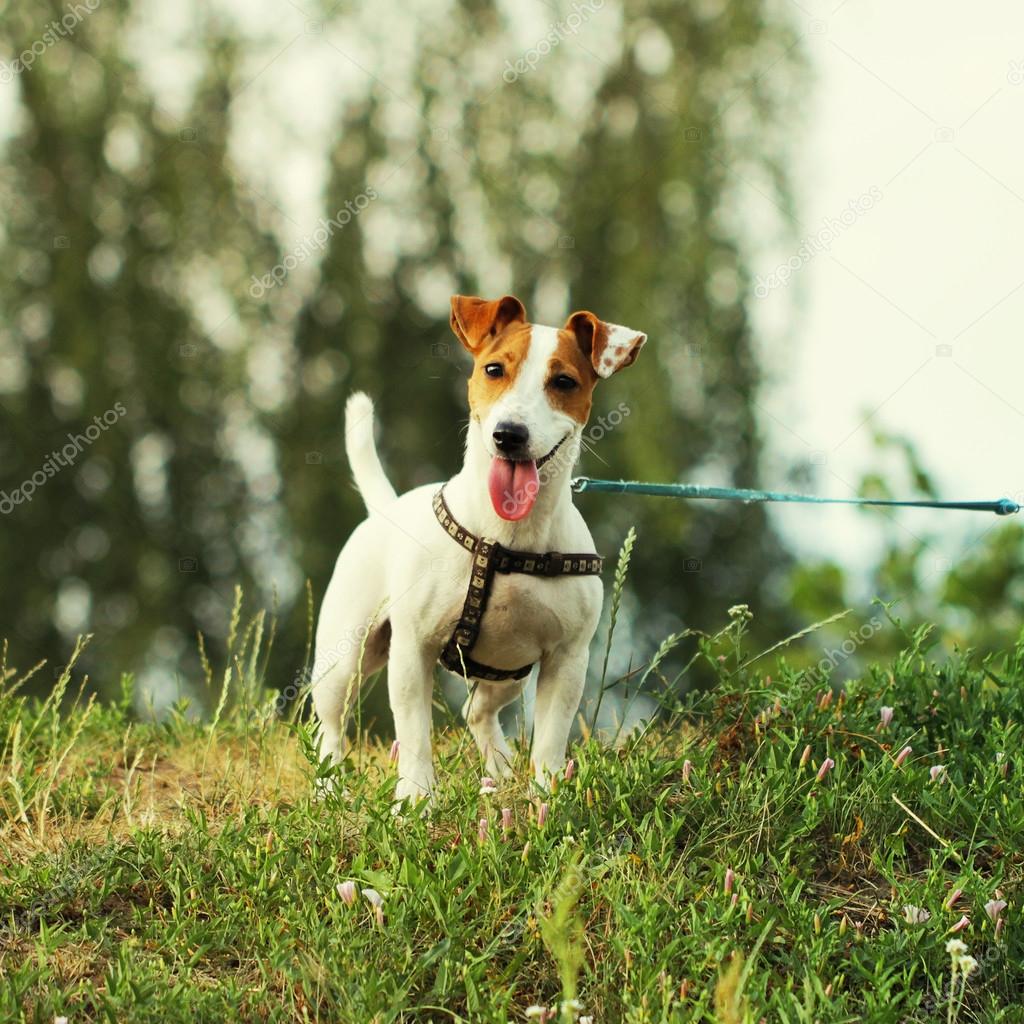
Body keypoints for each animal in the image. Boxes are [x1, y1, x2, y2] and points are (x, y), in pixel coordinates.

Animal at [313, 292, 647, 802]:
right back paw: (328, 789)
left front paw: (545, 799)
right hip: (343, 658)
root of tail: (385, 507)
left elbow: (550, 740)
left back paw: (502, 770)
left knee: (479, 711)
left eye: (564, 381)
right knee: (330, 727)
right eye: (494, 369)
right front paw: (415, 800)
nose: (509, 434)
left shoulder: (567, 659)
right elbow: (414, 735)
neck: (507, 539)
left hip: (507, 671)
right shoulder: (413, 649)